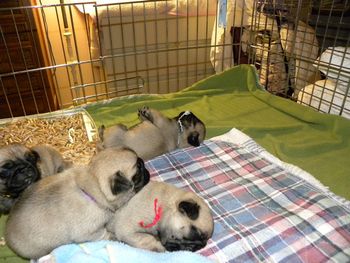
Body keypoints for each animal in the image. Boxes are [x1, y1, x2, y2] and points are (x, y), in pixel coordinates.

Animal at [5, 147, 150, 260]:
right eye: (137, 172)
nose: (146, 168)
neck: (93, 183)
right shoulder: (89, 233)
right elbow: (103, 234)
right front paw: (112, 236)